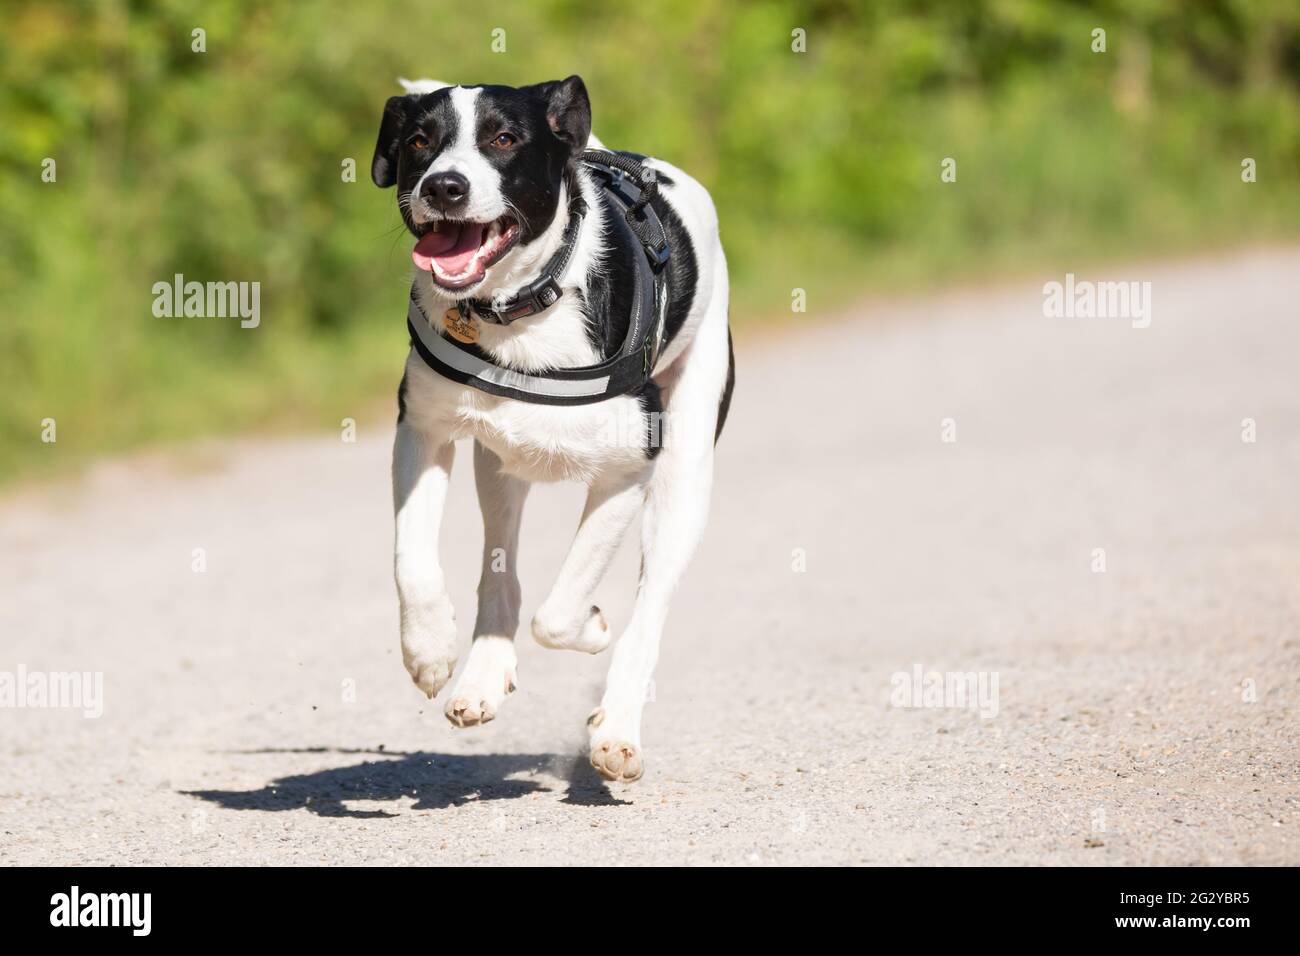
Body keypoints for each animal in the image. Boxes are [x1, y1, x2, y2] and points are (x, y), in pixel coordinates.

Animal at [371, 76, 733, 785]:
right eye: (419, 141)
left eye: (505, 138)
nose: (443, 187)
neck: (516, 311)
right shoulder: (422, 428)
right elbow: (413, 559)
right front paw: (428, 650)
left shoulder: (628, 469)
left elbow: (560, 612)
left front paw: (593, 629)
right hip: (497, 465)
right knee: (500, 571)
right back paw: (481, 678)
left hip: (684, 476)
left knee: (650, 605)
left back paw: (617, 731)